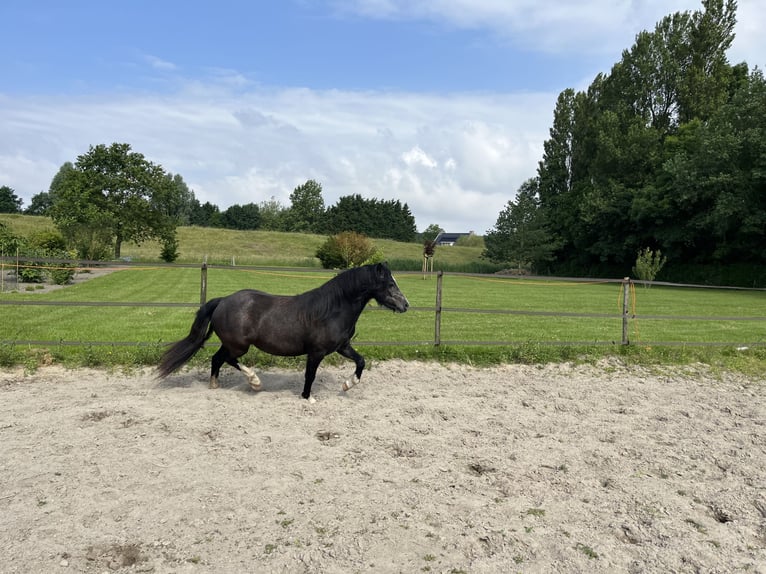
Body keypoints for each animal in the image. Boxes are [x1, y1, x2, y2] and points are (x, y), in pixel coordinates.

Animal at [153, 264, 412, 402]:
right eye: (389, 284)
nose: (405, 305)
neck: (332, 309)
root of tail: (222, 301)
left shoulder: (342, 346)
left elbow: (361, 361)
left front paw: (348, 384)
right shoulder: (316, 352)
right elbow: (310, 376)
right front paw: (308, 397)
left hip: (231, 344)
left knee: (217, 359)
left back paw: (215, 386)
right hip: (239, 345)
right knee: (227, 359)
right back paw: (255, 382)